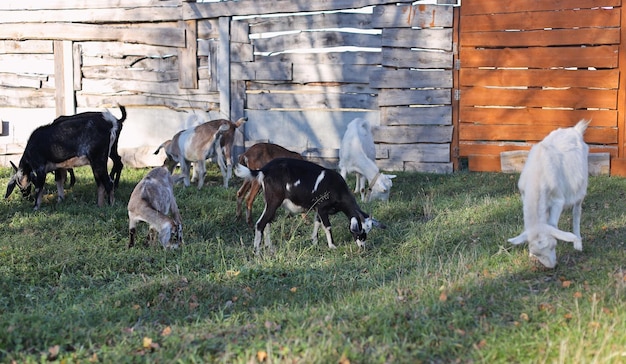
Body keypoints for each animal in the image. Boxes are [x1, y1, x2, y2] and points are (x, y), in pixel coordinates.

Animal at [233, 158, 382, 255]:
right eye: (360, 231)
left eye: (368, 231)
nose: (362, 246)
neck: (337, 189)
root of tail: (264, 170)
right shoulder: (322, 208)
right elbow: (327, 226)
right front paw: (332, 246)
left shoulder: (318, 209)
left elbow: (317, 223)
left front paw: (314, 242)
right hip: (274, 201)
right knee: (260, 223)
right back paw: (257, 251)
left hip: (270, 202)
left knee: (267, 222)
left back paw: (270, 247)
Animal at [504, 118, 588, 268]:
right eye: (536, 252)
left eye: (553, 246)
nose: (551, 266)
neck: (537, 175)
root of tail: (575, 130)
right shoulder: (525, 196)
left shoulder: (558, 200)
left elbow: (553, 224)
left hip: (581, 186)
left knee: (577, 211)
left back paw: (578, 242)